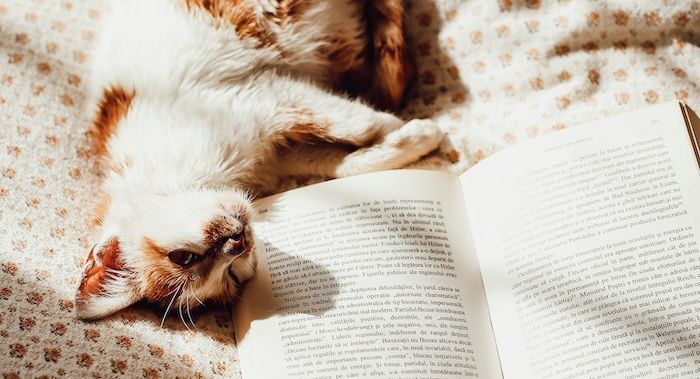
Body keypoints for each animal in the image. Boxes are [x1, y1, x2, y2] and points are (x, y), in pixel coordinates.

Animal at [75, 0, 442, 324]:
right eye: (232, 276)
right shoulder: (281, 149)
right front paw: (412, 139)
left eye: (182, 257)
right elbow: (343, 162)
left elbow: (359, 124)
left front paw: (411, 126)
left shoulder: (262, 96)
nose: (236, 242)